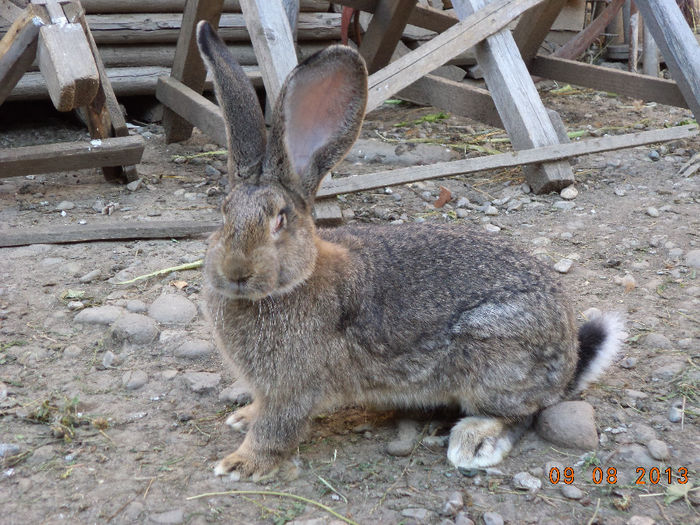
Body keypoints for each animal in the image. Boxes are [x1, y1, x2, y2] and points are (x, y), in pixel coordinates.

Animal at [196, 20, 624, 478]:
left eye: (280, 219)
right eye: (223, 212)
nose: (236, 271)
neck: (297, 280)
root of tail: (568, 359)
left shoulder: (294, 388)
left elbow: (276, 429)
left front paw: (240, 463)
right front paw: (243, 417)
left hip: (492, 358)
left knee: (524, 413)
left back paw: (474, 441)